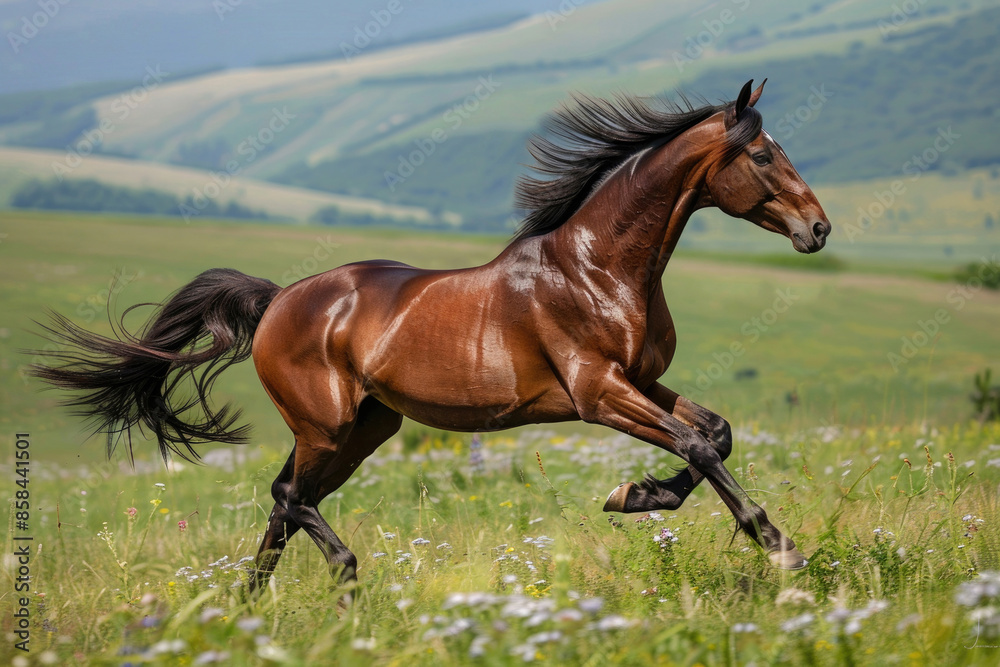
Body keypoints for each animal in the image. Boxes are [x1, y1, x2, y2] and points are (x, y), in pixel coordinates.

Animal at [32, 79, 831, 592]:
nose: (818, 228)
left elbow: (715, 432)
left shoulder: (639, 380)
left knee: (284, 504)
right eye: (764, 155)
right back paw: (345, 578)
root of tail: (278, 299)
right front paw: (780, 549)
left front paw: (634, 494)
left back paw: (250, 607)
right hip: (325, 425)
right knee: (287, 495)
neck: (597, 266)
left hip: (365, 428)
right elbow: (699, 445)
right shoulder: (598, 393)